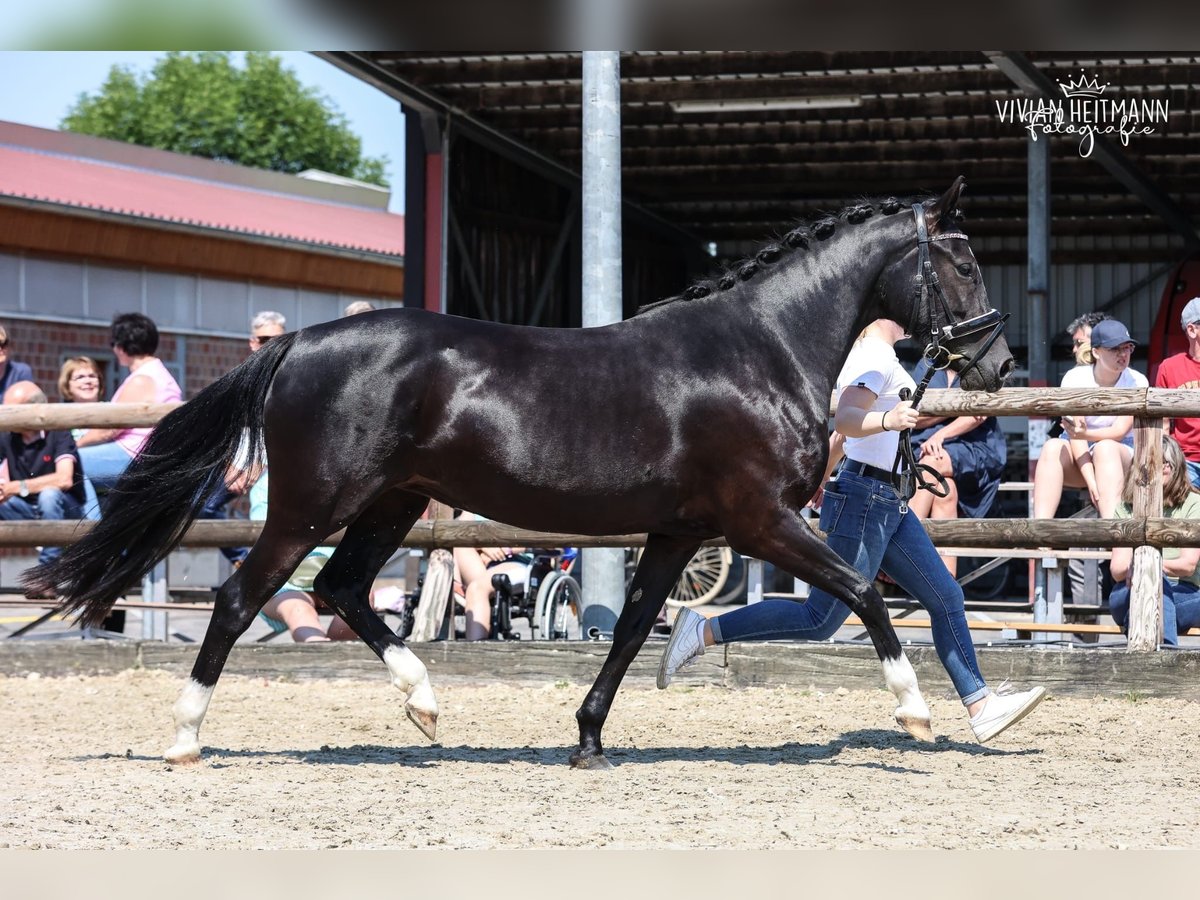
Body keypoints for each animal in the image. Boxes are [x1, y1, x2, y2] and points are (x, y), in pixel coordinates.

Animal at [25, 176, 1012, 768]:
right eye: (962, 261)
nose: (998, 364)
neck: (759, 350)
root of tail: (297, 343)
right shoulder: (759, 520)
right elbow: (866, 592)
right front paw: (917, 714)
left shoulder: (680, 531)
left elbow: (632, 628)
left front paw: (587, 740)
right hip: (312, 508)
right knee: (242, 602)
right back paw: (186, 740)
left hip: (394, 502)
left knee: (344, 590)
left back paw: (425, 707)